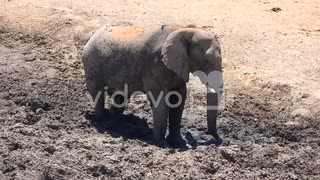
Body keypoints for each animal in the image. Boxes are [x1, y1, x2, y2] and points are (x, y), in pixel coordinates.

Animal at [81, 23, 224, 147]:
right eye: (205, 61)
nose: (217, 139)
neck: (184, 29)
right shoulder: (155, 63)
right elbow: (160, 100)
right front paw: (162, 144)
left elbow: (178, 98)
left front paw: (178, 143)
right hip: (92, 63)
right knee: (97, 93)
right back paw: (101, 120)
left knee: (121, 97)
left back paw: (115, 124)